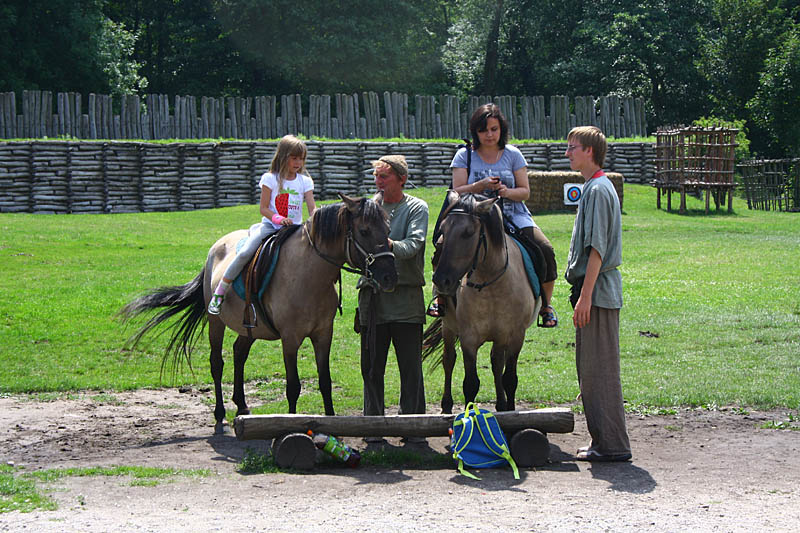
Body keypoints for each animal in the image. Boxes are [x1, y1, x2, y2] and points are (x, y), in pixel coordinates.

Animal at [122, 193, 396, 434]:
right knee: (217, 363)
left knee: (239, 353)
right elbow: (293, 386)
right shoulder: (290, 338)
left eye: (387, 229)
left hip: (249, 327)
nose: (388, 277)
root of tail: (215, 248)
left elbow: (325, 382)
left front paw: (333, 424)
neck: (308, 274)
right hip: (215, 323)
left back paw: (242, 405)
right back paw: (220, 414)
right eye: (364, 231)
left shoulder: (322, 334)